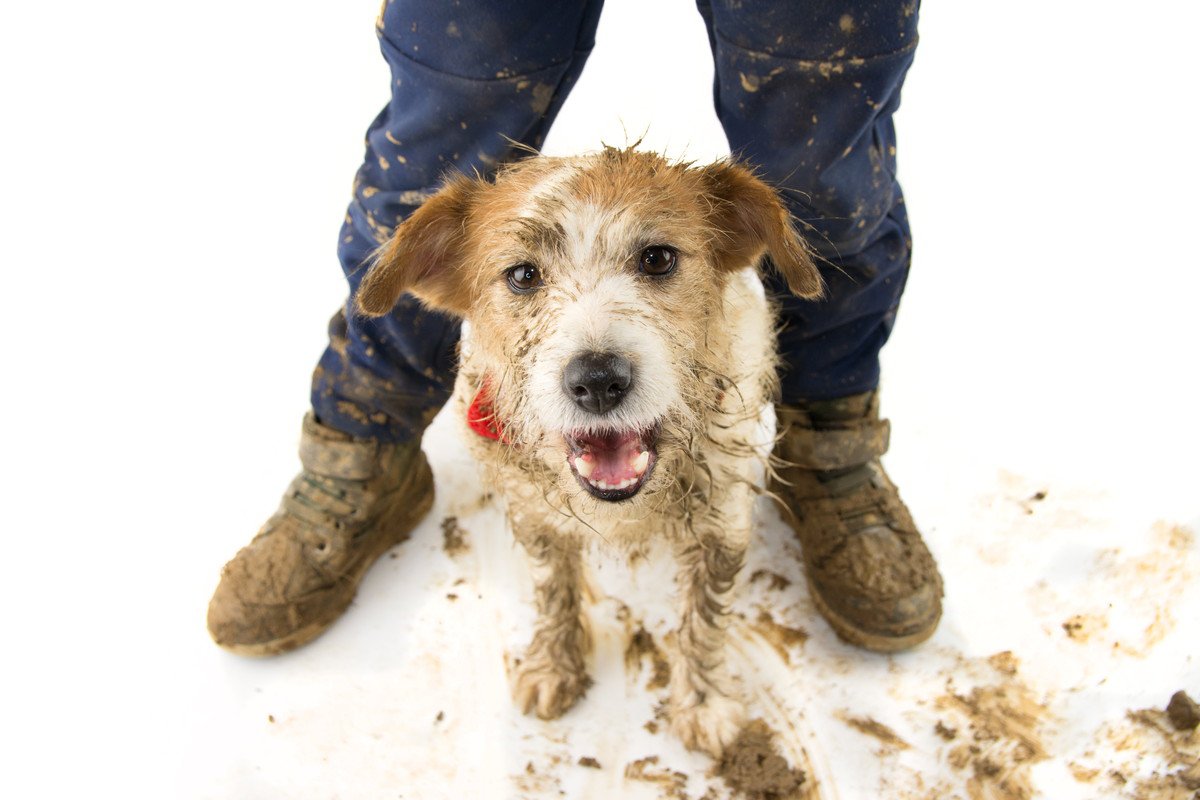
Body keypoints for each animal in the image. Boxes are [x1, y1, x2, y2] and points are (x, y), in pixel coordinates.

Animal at [355, 148, 825, 758]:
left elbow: (704, 617)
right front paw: (553, 668)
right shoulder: (534, 516)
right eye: (523, 274)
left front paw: (703, 704)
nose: (598, 381)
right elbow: (553, 590)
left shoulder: (722, 518)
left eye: (657, 258)